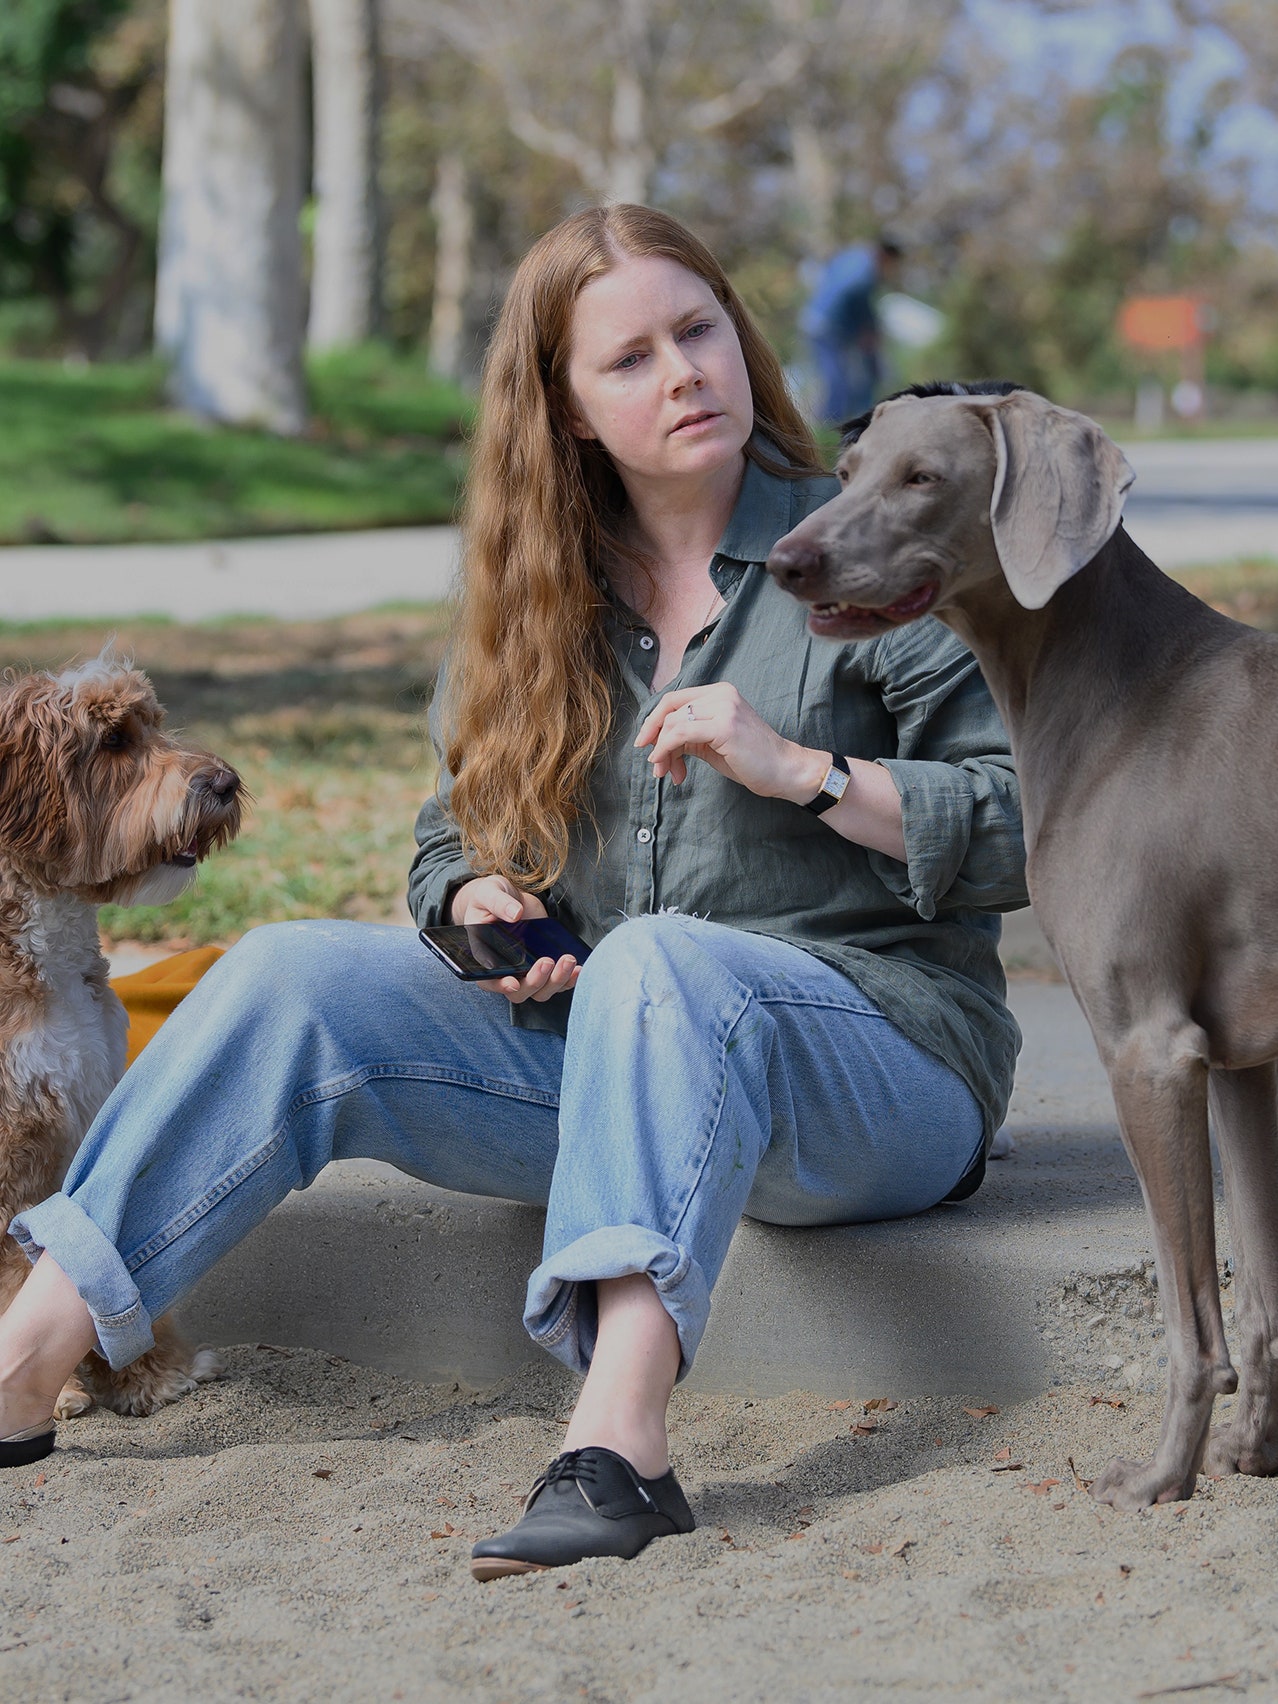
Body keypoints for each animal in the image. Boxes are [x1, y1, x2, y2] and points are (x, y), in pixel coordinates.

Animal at [0, 657, 241, 1417]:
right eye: (111, 741)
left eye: (155, 724)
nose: (225, 782)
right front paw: (59, 1392)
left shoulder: (86, 1109)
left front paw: (150, 1371)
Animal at [766, 391, 1278, 1513]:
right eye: (848, 470)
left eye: (922, 478)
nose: (786, 560)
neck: (1123, 687)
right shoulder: (1241, 1064)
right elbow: (1264, 1287)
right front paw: (1251, 1453)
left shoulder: (1150, 1049)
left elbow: (1191, 1314)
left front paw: (1162, 1477)